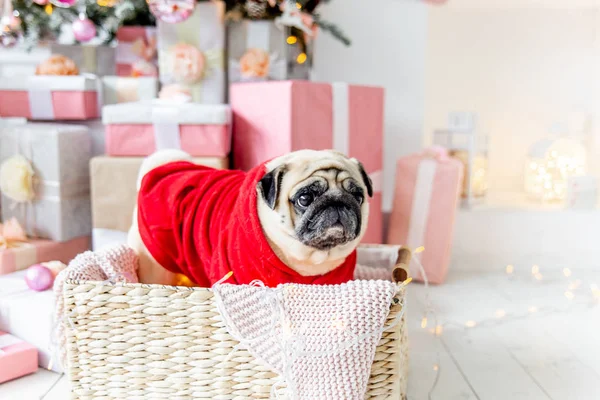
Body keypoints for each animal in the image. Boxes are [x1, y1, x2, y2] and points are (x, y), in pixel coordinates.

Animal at [127, 149, 370, 284]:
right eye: (305, 198)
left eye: (358, 196)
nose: (337, 201)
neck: (308, 258)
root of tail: (161, 168)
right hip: (154, 266)